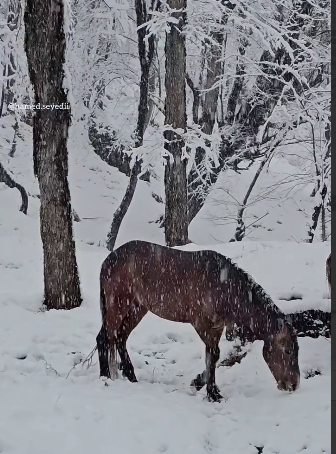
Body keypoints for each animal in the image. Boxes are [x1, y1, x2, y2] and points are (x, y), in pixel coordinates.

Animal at [96, 239, 300, 402]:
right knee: (104, 338)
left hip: (137, 309)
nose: (294, 385)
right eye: (288, 350)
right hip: (118, 306)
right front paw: (212, 393)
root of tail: (108, 260)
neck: (224, 287)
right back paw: (104, 377)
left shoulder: (217, 327)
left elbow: (214, 356)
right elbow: (213, 355)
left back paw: (131, 377)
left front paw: (200, 384)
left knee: (120, 338)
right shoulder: (202, 324)